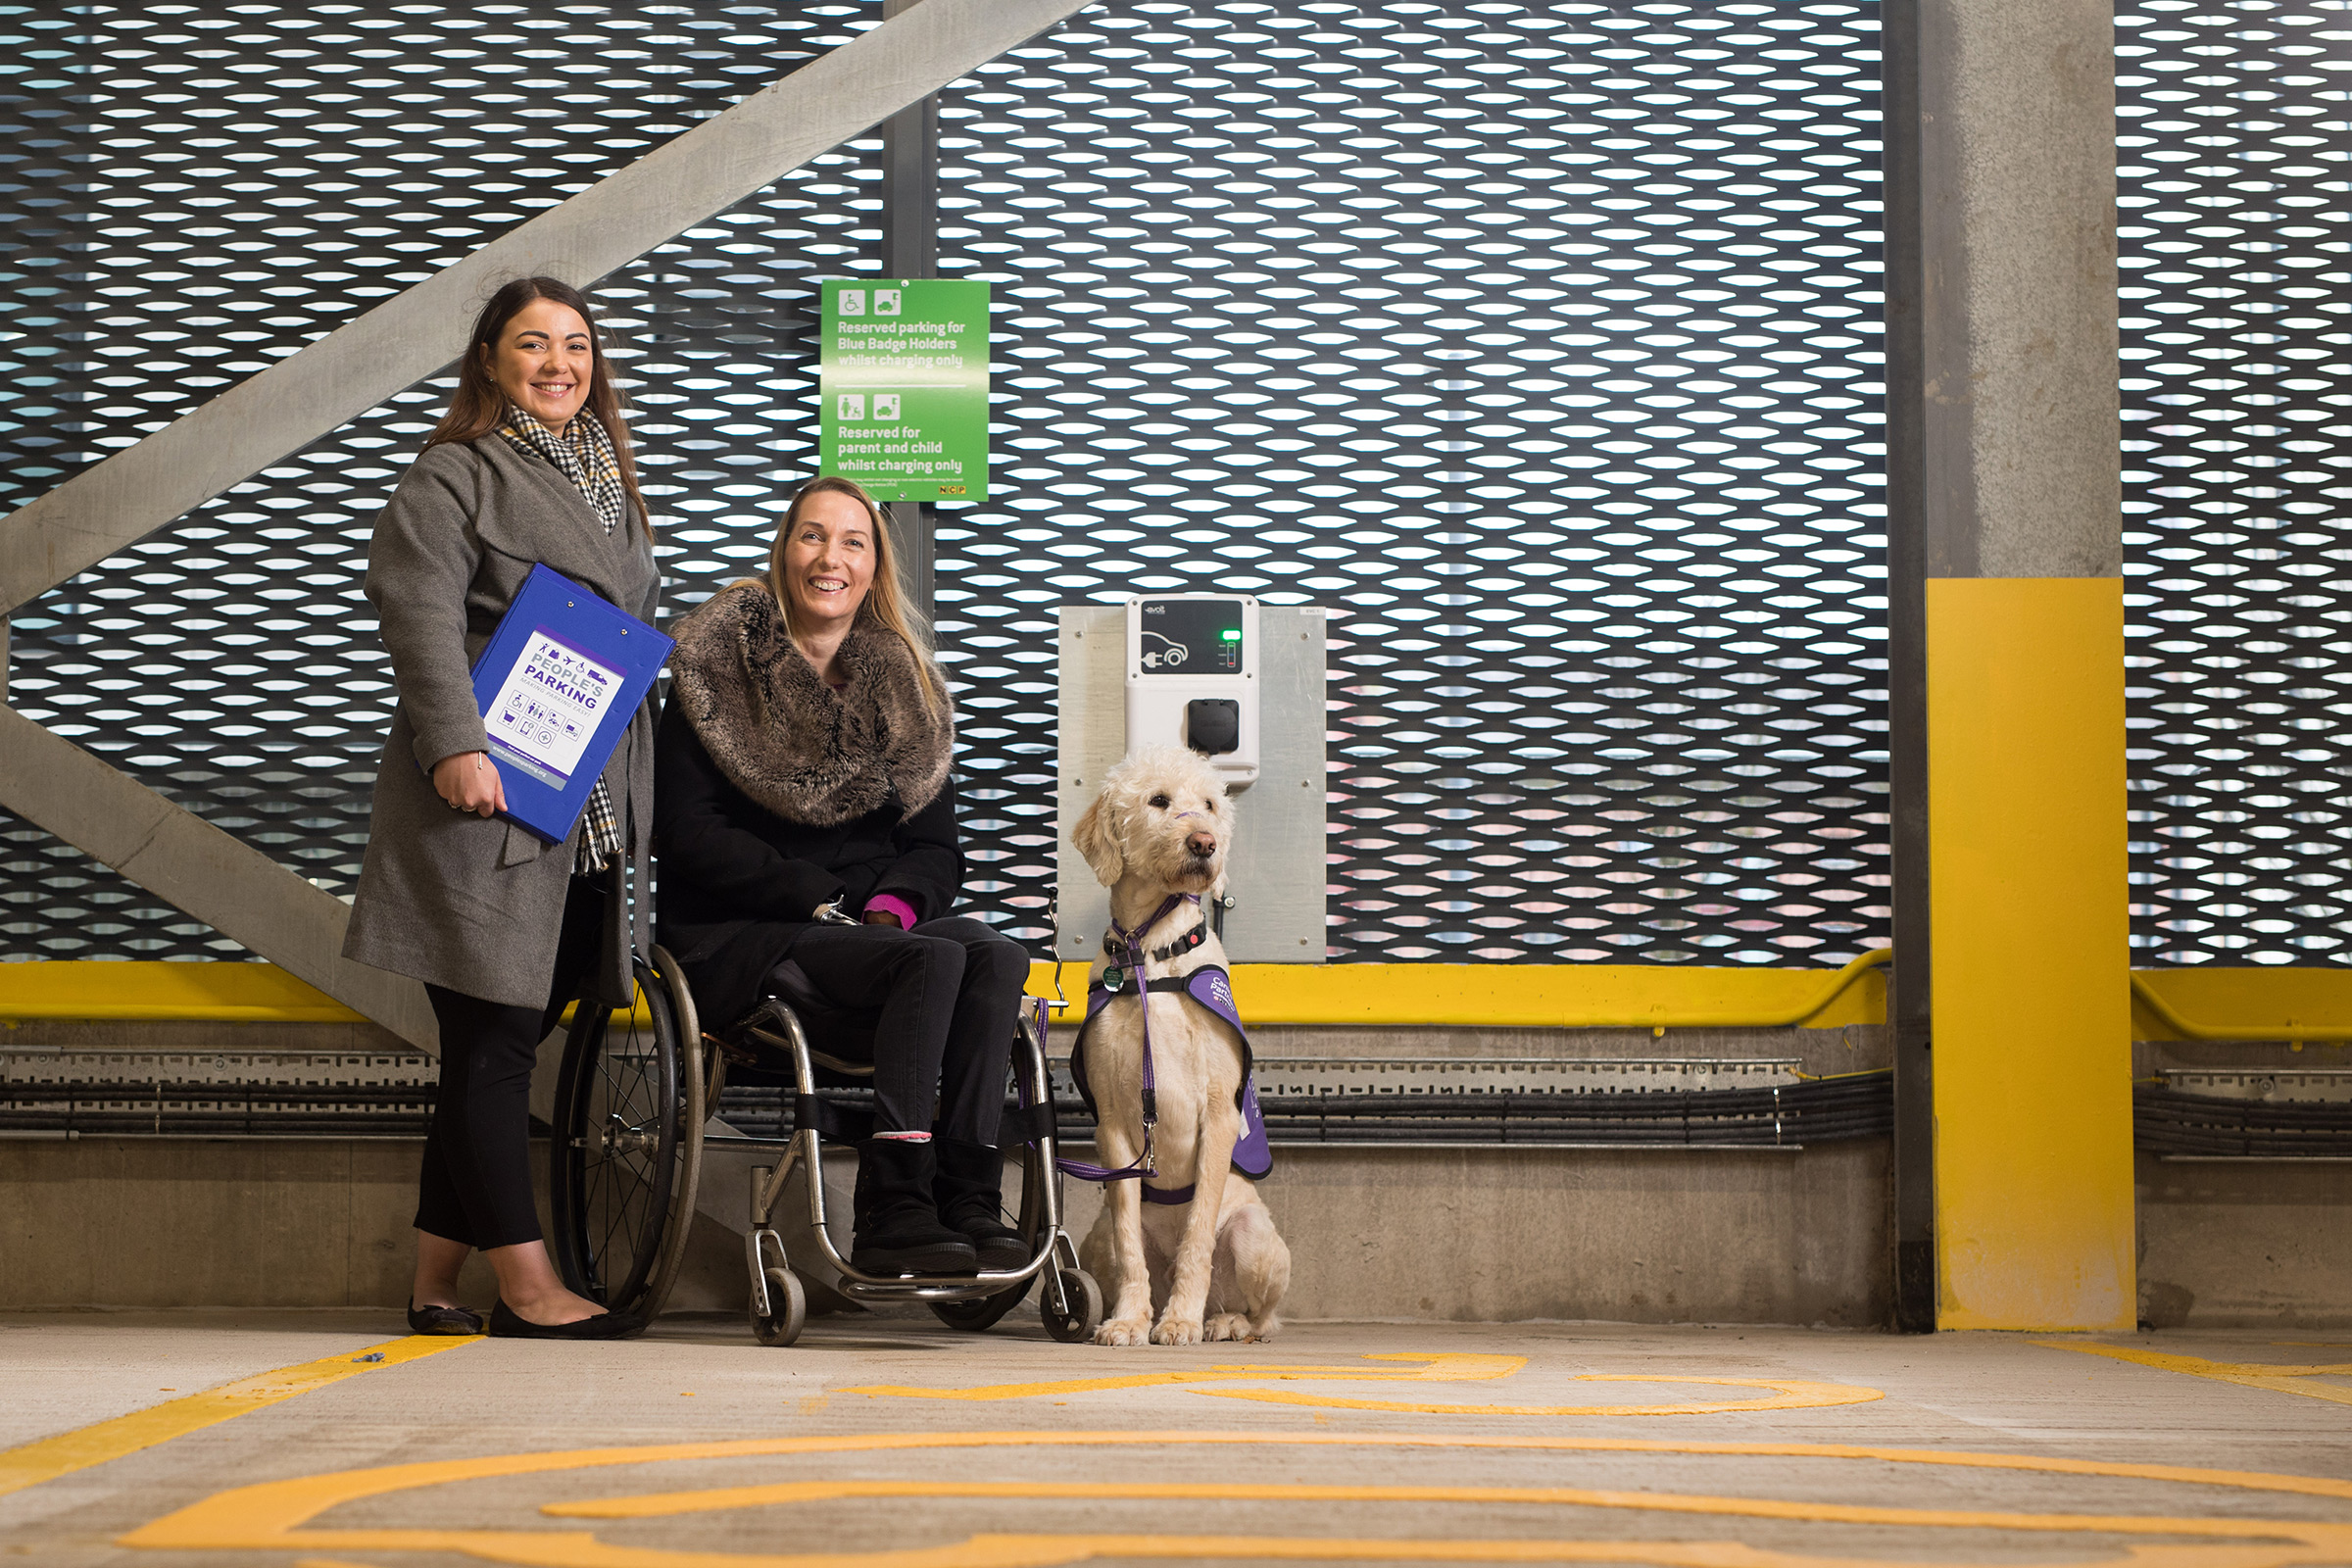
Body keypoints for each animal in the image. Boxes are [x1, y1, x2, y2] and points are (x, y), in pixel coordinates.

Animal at [1067, 747, 1289, 1353]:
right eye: (1158, 800)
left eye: (1210, 803)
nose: (1204, 843)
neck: (1153, 951)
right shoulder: (1114, 1127)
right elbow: (1129, 1246)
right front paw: (1129, 1321)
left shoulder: (1218, 1114)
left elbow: (1197, 1238)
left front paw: (1181, 1321)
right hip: (1093, 1235)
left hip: (1257, 1239)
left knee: (1262, 1314)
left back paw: (1223, 1321)